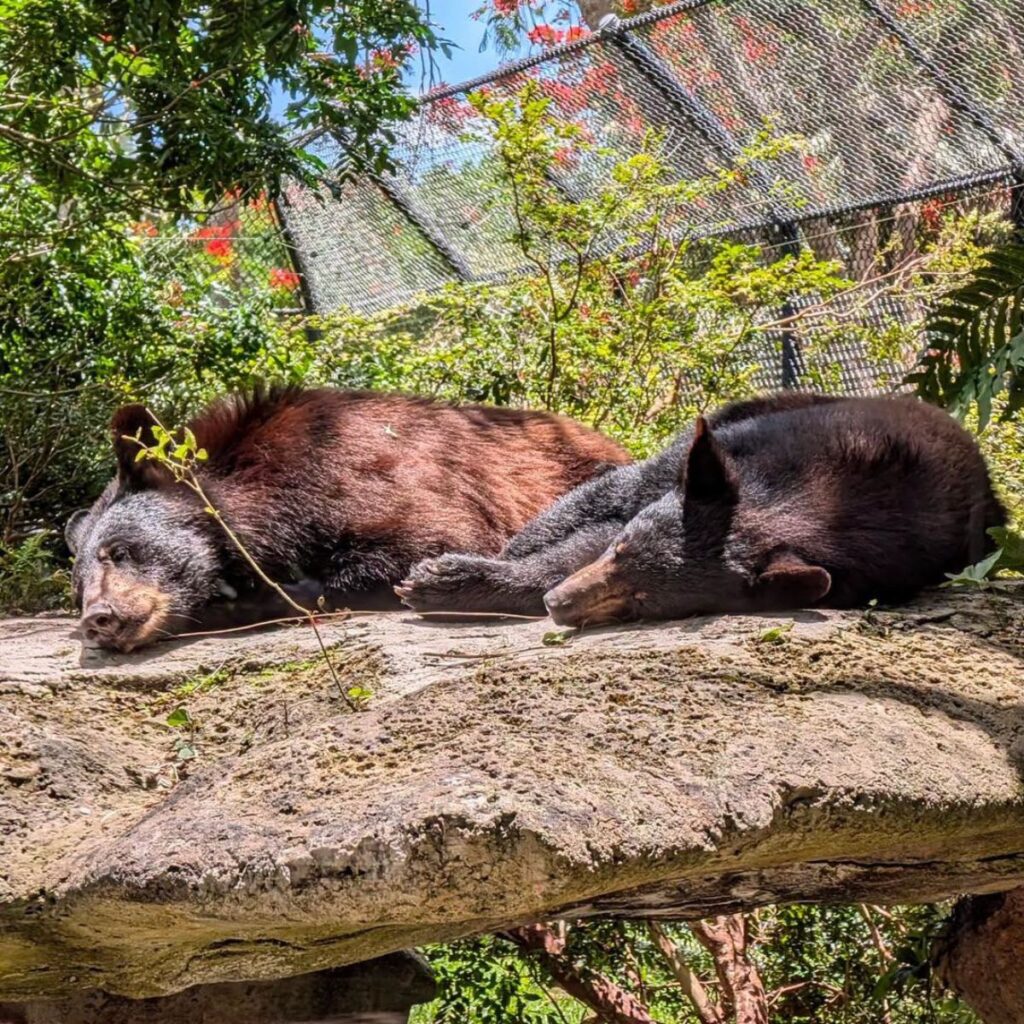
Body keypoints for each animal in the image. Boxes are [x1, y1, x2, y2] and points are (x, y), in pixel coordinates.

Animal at [66, 386, 630, 650]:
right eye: (78, 586)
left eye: (119, 551)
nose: (98, 620)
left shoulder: (368, 470)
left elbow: (415, 543)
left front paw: (238, 599)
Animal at [397, 393, 1005, 626]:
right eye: (620, 551)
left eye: (644, 603)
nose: (556, 605)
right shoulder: (749, 447)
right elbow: (604, 507)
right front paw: (466, 572)